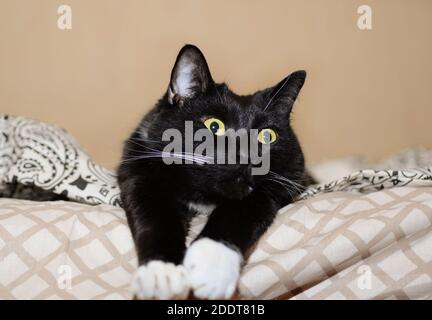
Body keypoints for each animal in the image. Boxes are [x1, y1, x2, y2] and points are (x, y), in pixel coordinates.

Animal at [116, 45, 308, 300]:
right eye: (214, 125)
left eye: (267, 136)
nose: (246, 158)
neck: (204, 194)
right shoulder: (139, 170)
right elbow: (155, 215)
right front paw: (161, 274)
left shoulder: (281, 184)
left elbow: (240, 210)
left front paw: (211, 266)